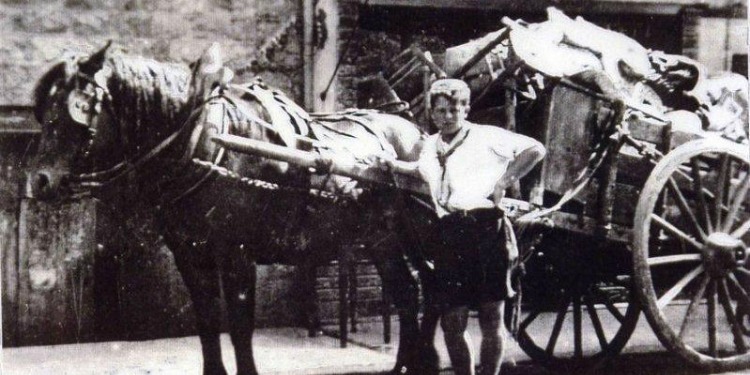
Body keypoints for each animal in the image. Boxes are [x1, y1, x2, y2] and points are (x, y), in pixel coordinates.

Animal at [29, 42, 440, 374]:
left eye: (77, 111)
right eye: (44, 111)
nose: (40, 181)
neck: (205, 142)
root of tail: (416, 131)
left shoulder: (237, 253)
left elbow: (240, 327)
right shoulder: (190, 255)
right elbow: (208, 322)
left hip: (416, 233)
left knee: (431, 287)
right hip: (380, 237)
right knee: (406, 294)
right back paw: (404, 365)